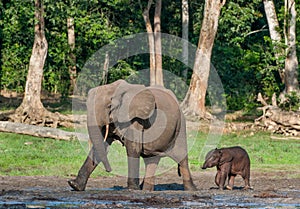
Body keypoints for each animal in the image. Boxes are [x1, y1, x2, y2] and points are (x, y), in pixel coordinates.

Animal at [68, 79, 197, 191]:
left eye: (109, 106)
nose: (109, 170)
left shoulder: (136, 119)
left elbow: (133, 147)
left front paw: (132, 189)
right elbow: (102, 146)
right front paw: (74, 185)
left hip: (180, 125)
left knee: (181, 156)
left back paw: (191, 190)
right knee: (152, 160)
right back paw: (146, 190)